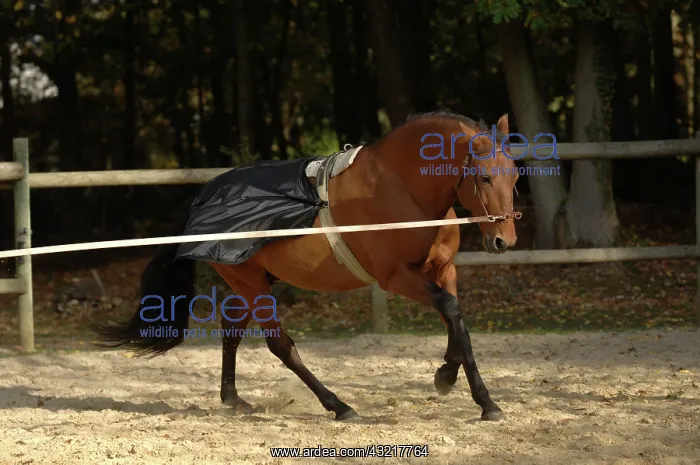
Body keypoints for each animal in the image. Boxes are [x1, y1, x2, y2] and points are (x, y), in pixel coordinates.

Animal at [94, 111, 521, 422]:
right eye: (484, 177)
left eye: (515, 175)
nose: (505, 242)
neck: (402, 188)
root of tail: (202, 197)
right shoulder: (396, 276)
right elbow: (451, 311)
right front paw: (485, 402)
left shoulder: (443, 269)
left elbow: (455, 320)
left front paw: (447, 376)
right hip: (251, 284)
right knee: (280, 345)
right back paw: (339, 406)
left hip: (250, 280)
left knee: (232, 328)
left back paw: (233, 399)